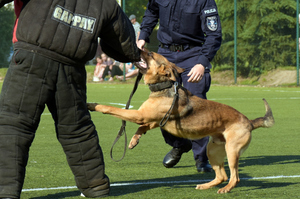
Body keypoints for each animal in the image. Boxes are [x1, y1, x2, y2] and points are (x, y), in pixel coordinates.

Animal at [86, 49, 274, 193]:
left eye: (150, 54)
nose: (138, 48)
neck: (165, 86)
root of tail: (249, 122)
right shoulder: (153, 120)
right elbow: (142, 127)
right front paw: (134, 140)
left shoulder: (140, 115)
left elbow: (113, 109)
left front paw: (93, 105)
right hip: (213, 150)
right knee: (222, 175)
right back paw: (206, 185)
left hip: (232, 151)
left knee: (234, 177)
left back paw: (226, 189)